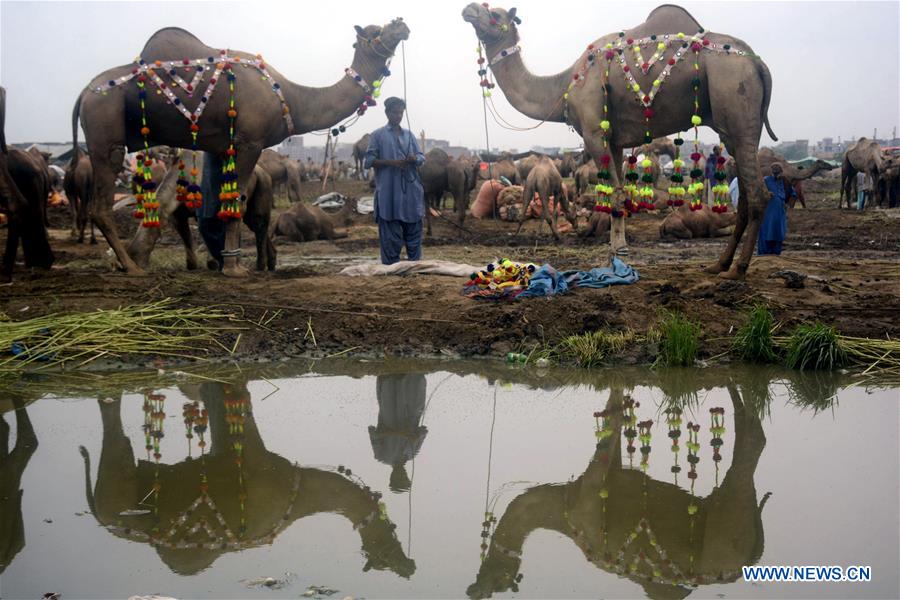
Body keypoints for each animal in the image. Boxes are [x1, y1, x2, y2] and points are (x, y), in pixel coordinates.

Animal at [75, 18, 410, 276]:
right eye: (375, 30)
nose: (402, 23)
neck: (289, 96)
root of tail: (84, 93)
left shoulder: (222, 145)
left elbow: (219, 200)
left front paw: (226, 262)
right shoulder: (250, 141)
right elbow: (235, 196)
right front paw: (235, 268)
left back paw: (131, 260)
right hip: (105, 129)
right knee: (100, 203)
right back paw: (131, 266)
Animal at [464, 2, 772, 278]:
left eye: (494, 15)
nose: (468, 9)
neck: (565, 84)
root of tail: (759, 64)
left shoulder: (593, 132)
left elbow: (615, 195)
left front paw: (619, 257)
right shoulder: (614, 139)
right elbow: (619, 193)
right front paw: (615, 255)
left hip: (735, 99)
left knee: (759, 194)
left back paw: (738, 270)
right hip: (736, 126)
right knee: (745, 193)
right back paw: (719, 264)